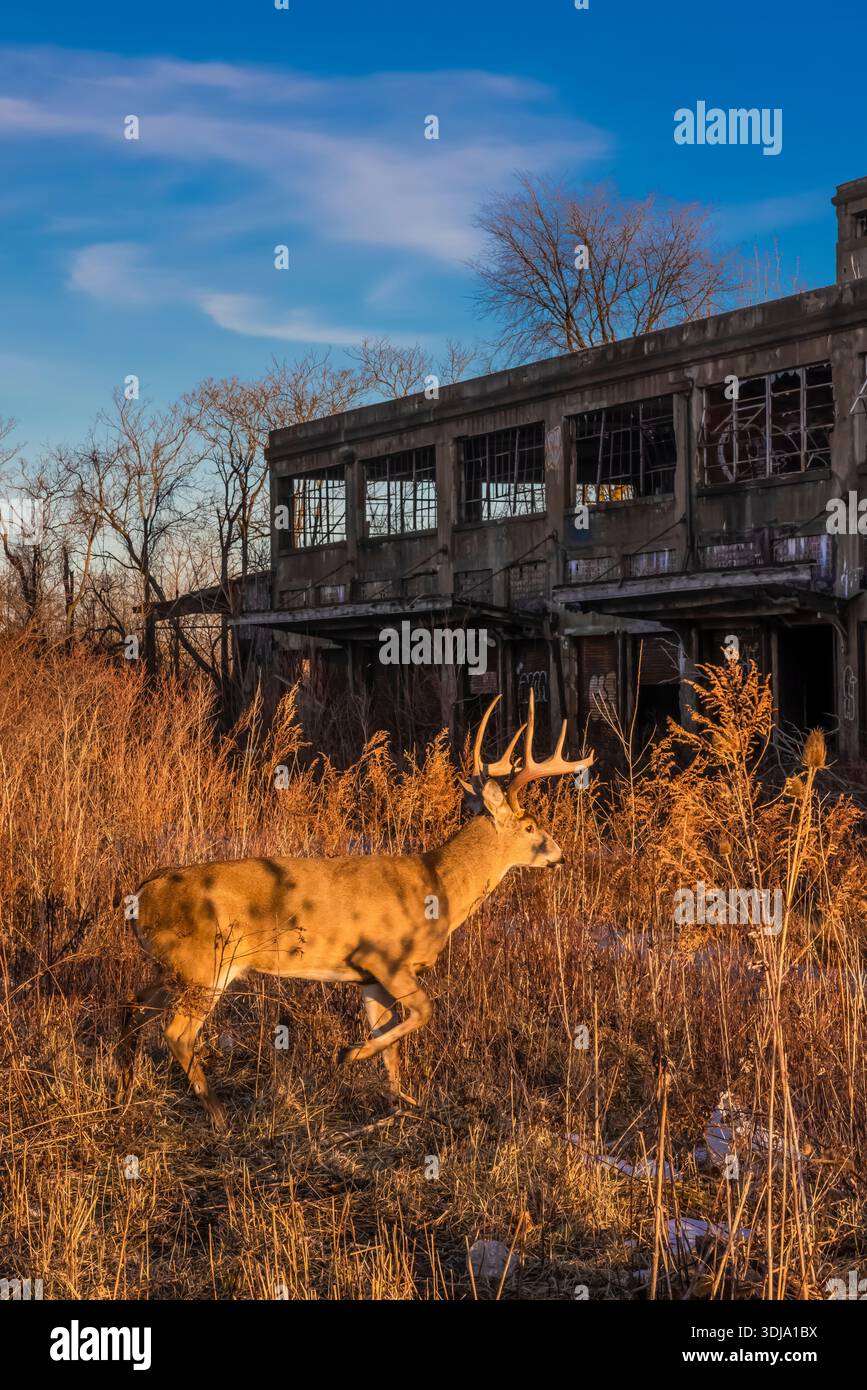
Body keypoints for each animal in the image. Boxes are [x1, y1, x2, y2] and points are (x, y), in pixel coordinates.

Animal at [115, 690, 593, 1129]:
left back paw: (125, 1087)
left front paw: (404, 1103)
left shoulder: (369, 979)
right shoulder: (383, 957)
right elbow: (424, 1012)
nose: (560, 855)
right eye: (530, 826)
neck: (439, 888)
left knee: (134, 1001)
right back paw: (218, 1116)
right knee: (177, 1032)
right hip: (206, 962)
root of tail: (142, 892)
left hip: (175, 965)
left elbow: (391, 1041)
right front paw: (349, 1053)